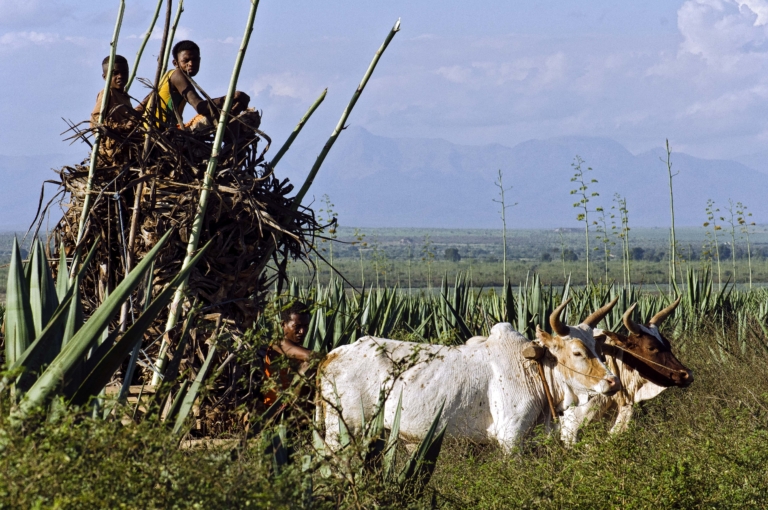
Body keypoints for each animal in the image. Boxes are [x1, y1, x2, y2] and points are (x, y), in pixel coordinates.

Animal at [316, 297, 621, 452]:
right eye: (578, 352)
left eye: (598, 348)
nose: (613, 382)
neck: (530, 368)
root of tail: (332, 354)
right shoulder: (510, 438)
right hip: (343, 433)